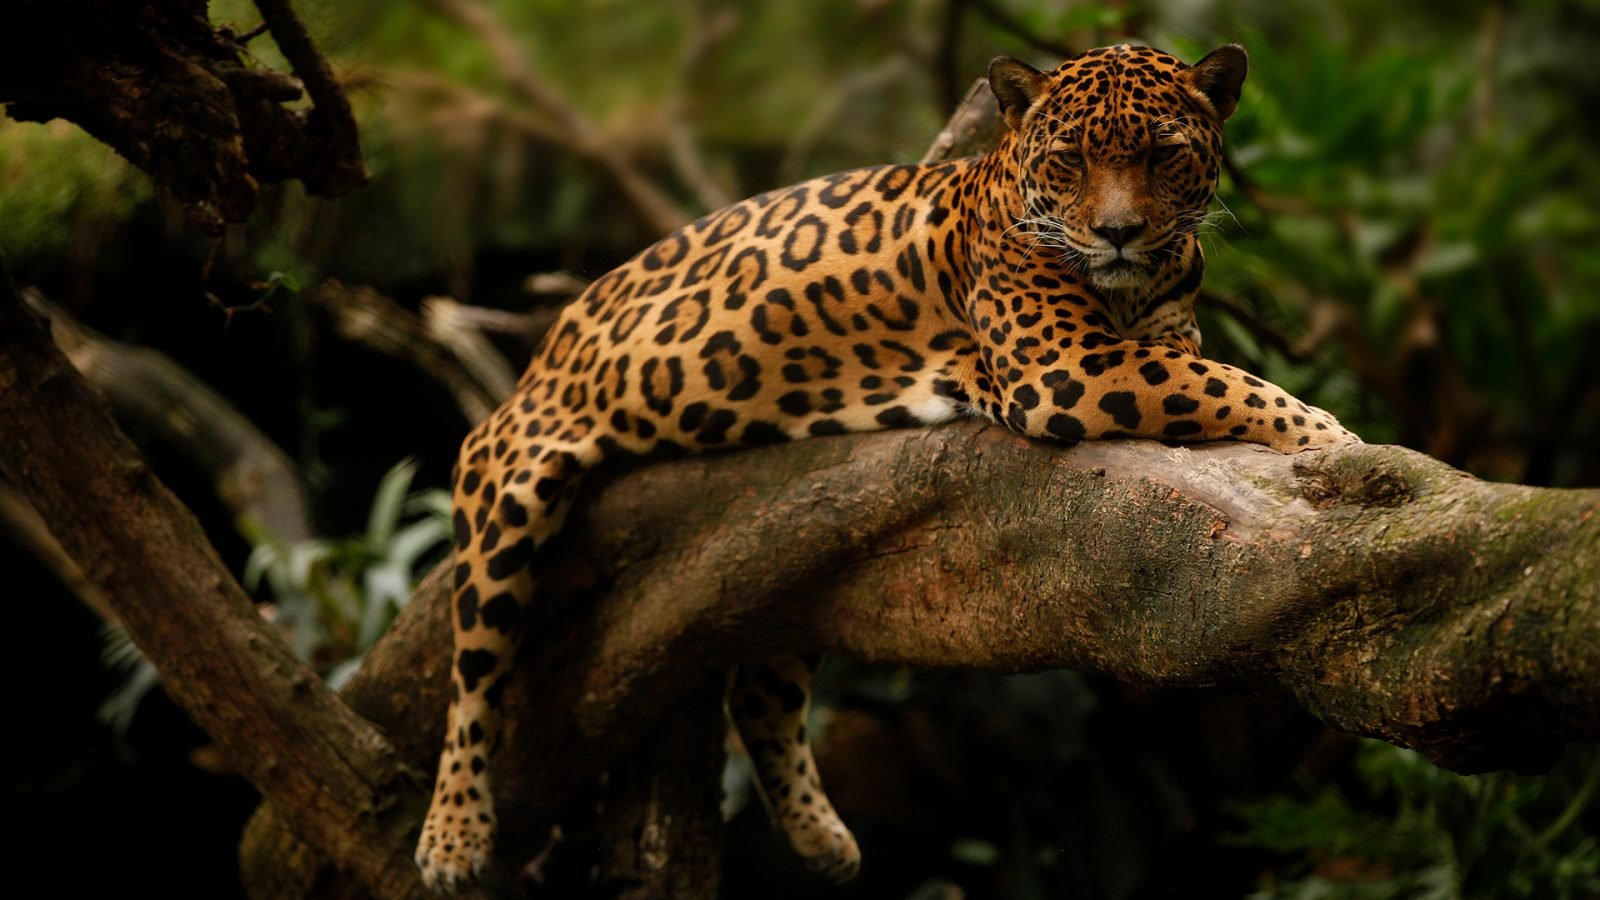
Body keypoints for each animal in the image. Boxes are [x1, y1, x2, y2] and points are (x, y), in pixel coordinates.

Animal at [414, 42, 1359, 892]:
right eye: (1070, 160)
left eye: (1163, 154)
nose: (1119, 233)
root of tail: (546, 345)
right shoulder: (1066, 366)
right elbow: (1223, 381)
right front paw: (1331, 434)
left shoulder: (1154, 335)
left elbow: (1205, 372)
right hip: (507, 479)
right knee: (472, 676)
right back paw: (452, 837)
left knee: (759, 686)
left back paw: (821, 836)